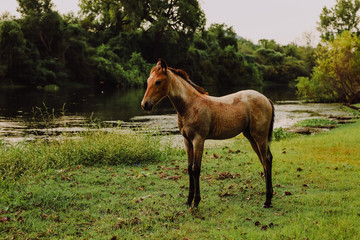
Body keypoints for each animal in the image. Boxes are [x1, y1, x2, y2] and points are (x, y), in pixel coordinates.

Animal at [141, 58, 276, 208]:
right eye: (148, 80)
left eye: (158, 81)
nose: (145, 104)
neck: (190, 106)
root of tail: (266, 99)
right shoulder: (187, 141)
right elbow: (189, 168)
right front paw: (188, 200)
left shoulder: (198, 140)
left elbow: (196, 168)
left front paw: (196, 202)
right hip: (251, 137)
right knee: (265, 160)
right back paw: (269, 196)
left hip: (260, 136)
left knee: (266, 159)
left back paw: (267, 201)